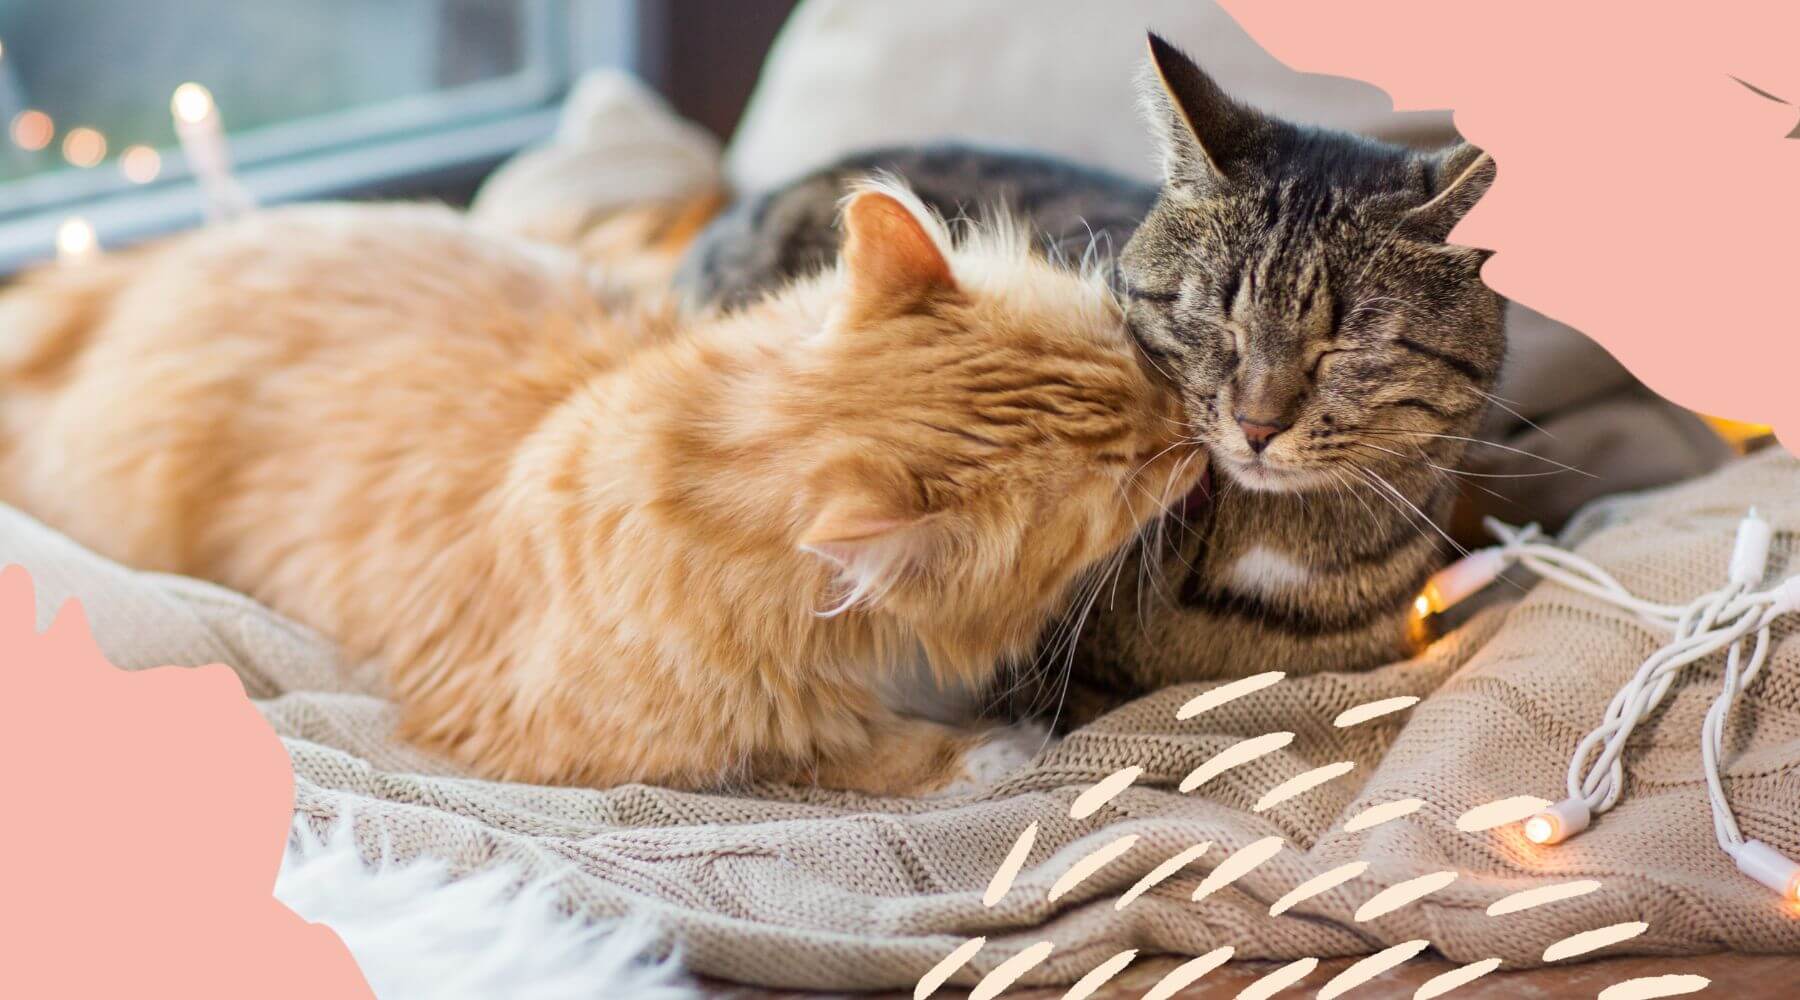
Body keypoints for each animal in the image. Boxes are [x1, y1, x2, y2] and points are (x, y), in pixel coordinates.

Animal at [3, 183, 1209, 798]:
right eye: (1125, 475)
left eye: (1137, 357)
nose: (1196, 436)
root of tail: (137, 265)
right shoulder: (565, 729)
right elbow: (838, 748)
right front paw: (990, 747)